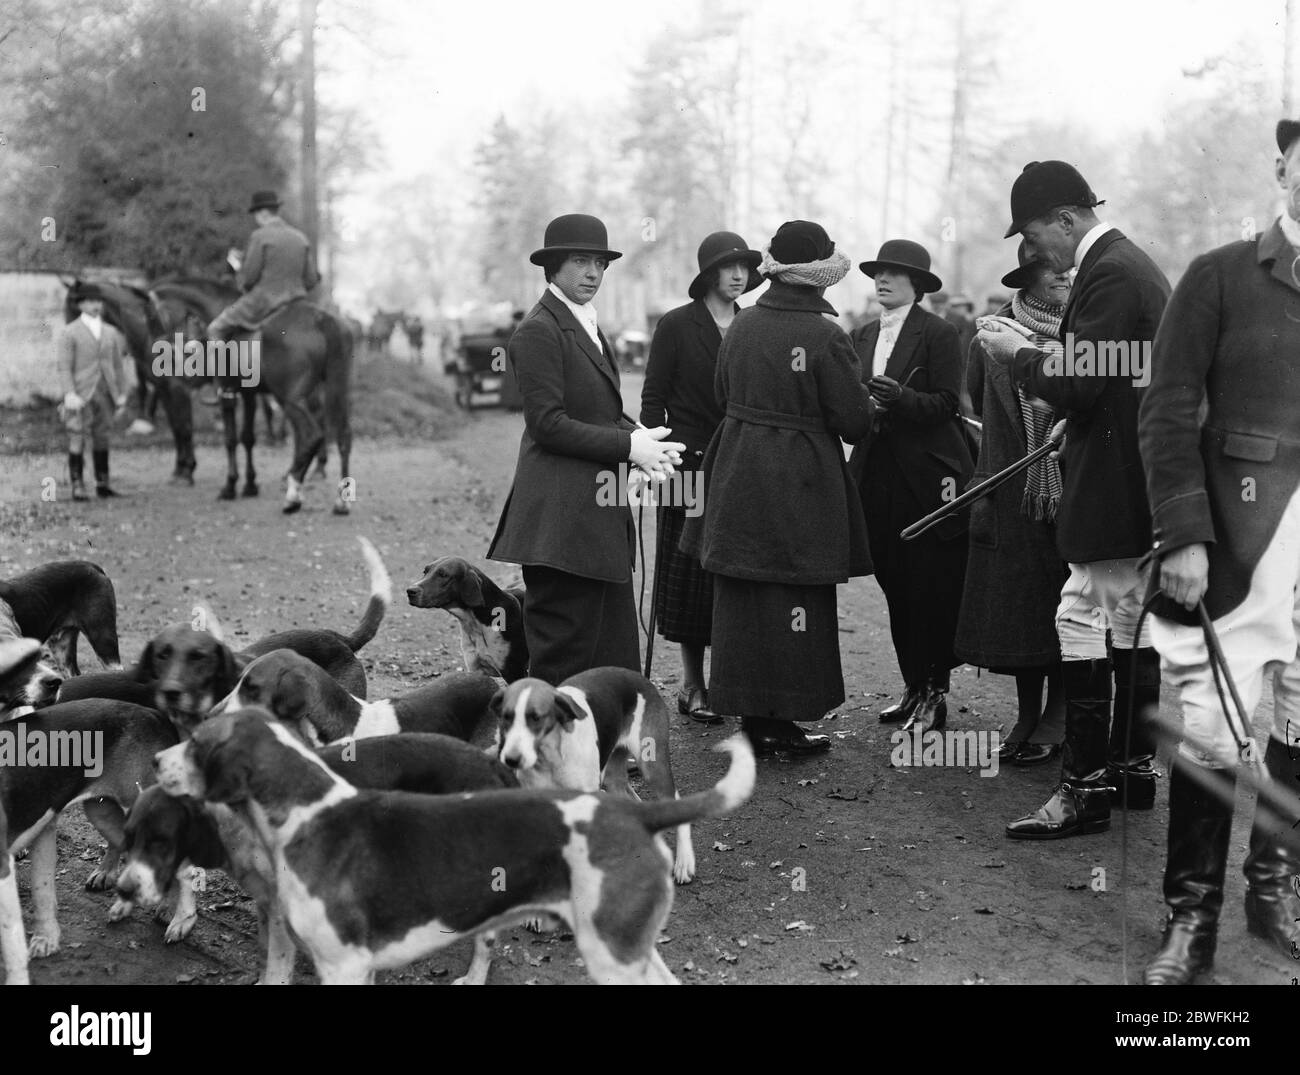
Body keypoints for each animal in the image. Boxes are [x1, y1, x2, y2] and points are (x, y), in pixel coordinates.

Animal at [62, 279, 196, 480]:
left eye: (75, 309)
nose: (70, 342)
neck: (153, 328)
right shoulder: (164, 387)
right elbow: (177, 426)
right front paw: (181, 468)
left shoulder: (178, 387)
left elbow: (184, 426)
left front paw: (187, 470)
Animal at [148, 282, 356, 517]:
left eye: (151, 315)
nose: (154, 345)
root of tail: (322, 319)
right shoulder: (249, 395)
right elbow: (248, 438)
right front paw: (250, 485)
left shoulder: (227, 392)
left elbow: (231, 439)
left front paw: (230, 486)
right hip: (336, 388)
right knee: (342, 436)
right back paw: (339, 501)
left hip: (289, 397)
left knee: (311, 436)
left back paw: (293, 493)